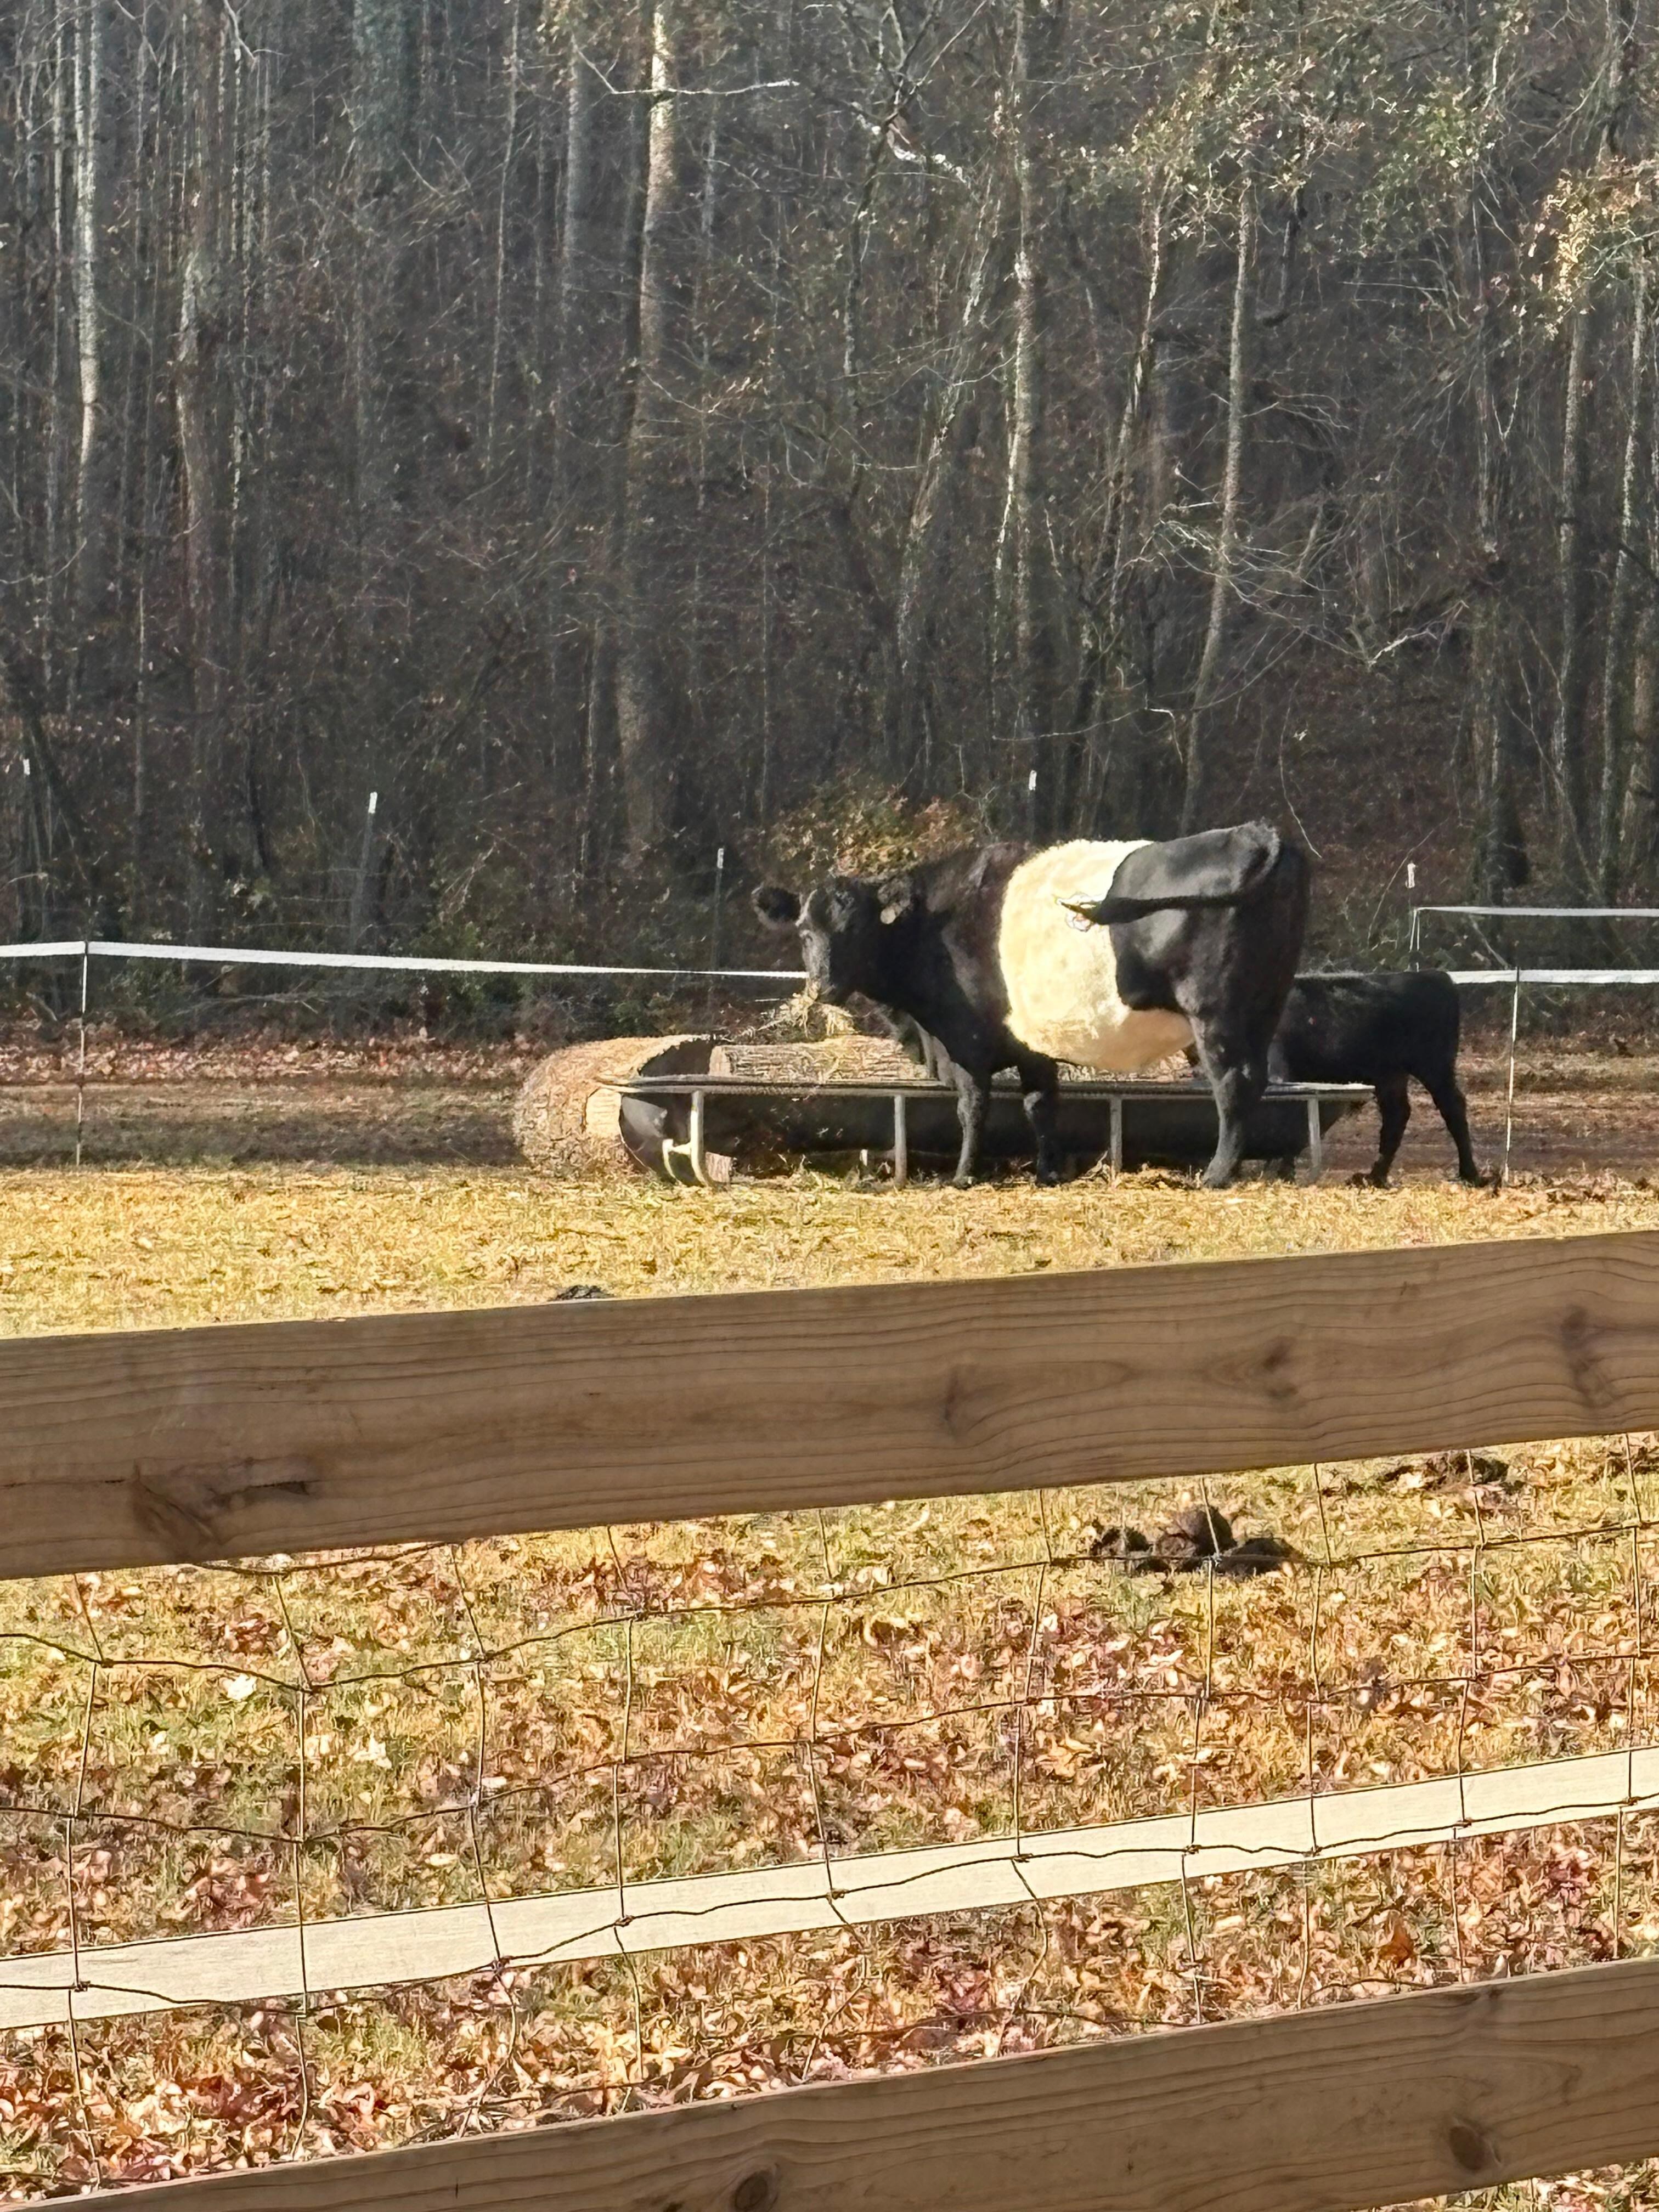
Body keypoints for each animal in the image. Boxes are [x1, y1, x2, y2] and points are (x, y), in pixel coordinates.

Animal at [753, 822, 1309, 1188]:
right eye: (804, 931)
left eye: (858, 929)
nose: (824, 986)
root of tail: (1257, 834)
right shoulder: (1031, 1042)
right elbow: (1040, 1104)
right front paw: (1048, 1172)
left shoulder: (965, 1039)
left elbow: (973, 1106)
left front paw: (963, 1176)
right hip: (1264, 1004)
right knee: (1257, 1080)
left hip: (1214, 1010)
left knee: (1232, 1083)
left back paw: (1217, 1175)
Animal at [1268, 967, 1483, 1187]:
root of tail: (1436, 976)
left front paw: (1284, 1172)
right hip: (1392, 1076)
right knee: (1398, 1114)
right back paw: (1375, 1176)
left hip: (1433, 1068)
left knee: (1452, 1107)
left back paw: (1469, 1174)